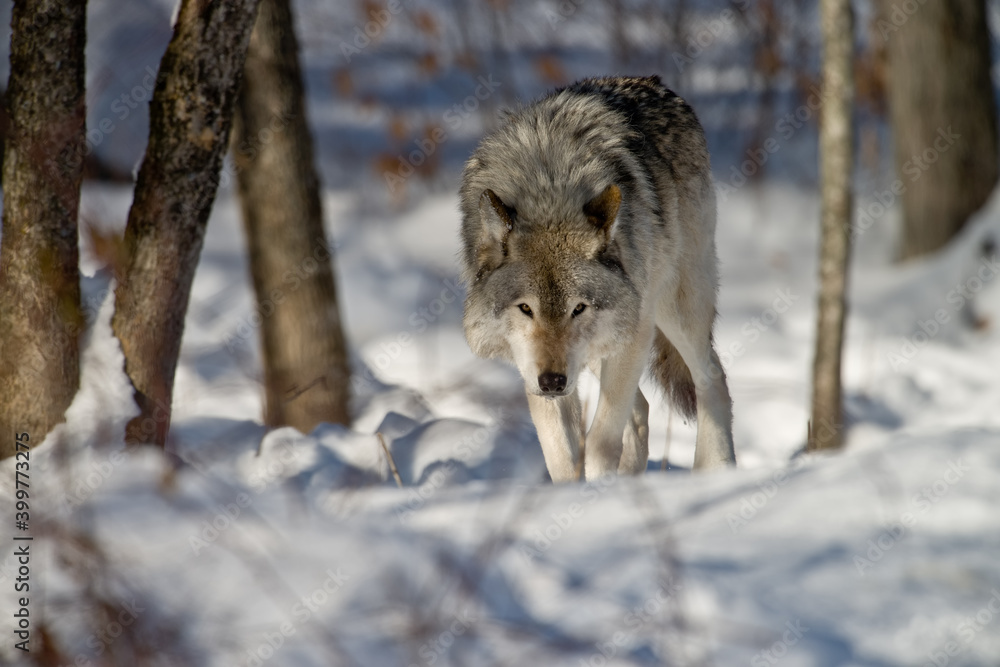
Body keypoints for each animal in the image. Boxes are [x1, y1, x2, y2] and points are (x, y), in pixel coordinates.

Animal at [459, 76, 735, 481]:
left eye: (579, 308)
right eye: (526, 308)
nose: (552, 381)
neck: (548, 192)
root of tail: (653, 81)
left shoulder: (634, 332)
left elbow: (602, 443)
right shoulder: (531, 367)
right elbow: (561, 455)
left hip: (671, 311)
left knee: (711, 379)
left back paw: (715, 474)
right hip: (595, 354)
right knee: (642, 409)